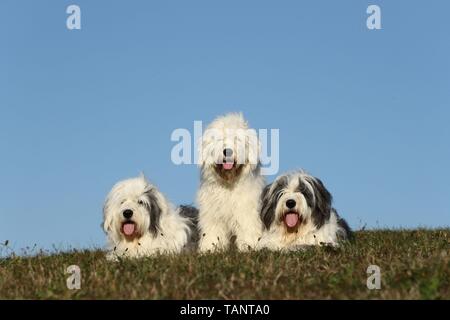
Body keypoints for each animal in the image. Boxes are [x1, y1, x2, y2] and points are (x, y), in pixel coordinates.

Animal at [196, 113, 264, 252]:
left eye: (237, 139)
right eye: (219, 139)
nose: (227, 151)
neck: (229, 184)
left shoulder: (246, 212)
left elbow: (248, 229)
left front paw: (249, 246)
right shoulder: (213, 214)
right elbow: (212, 232)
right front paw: (209, 249)